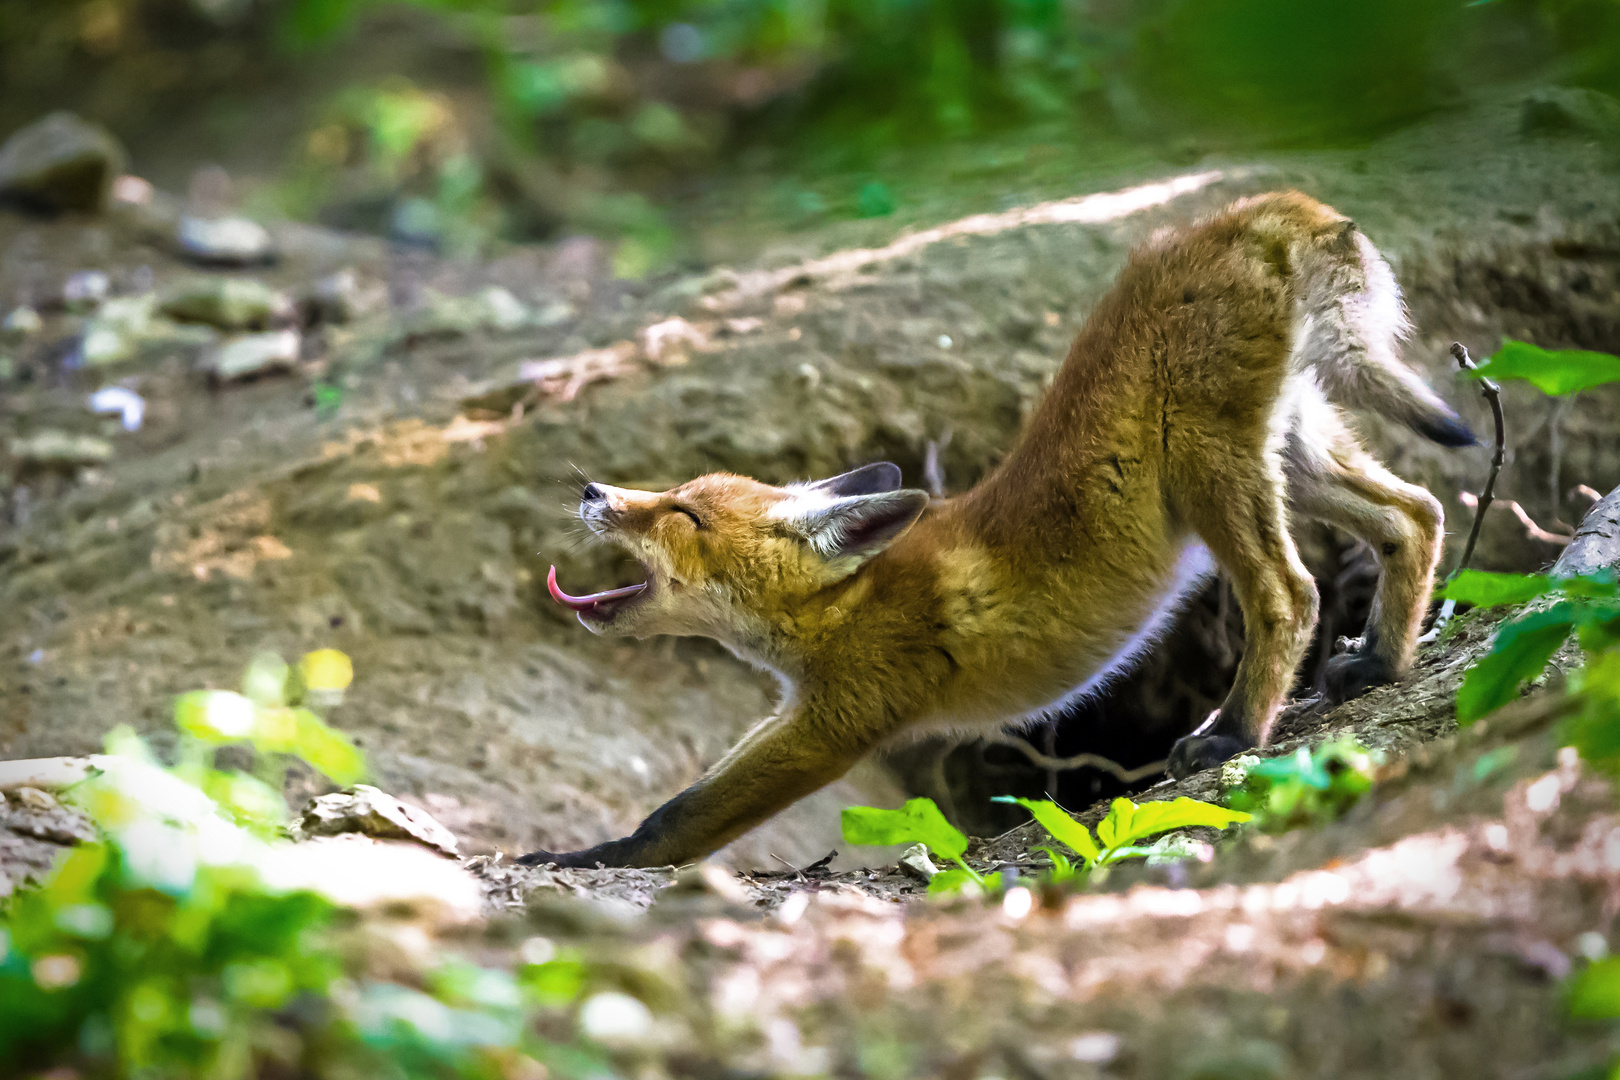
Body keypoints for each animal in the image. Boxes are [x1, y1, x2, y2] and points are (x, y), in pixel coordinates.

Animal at [524, 191, 1477, 867]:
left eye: (681, 514)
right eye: (675, 490)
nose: (591, 488)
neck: (842, 608)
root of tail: (1254, 209)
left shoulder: (836, 721)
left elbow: (678, 818)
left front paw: (588, 859)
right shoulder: (799, 708)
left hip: (1211, 469)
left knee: (1292, 590)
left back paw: (1236, 735)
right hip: (1296, 450)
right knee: (1417, 513)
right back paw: (1381, 660)